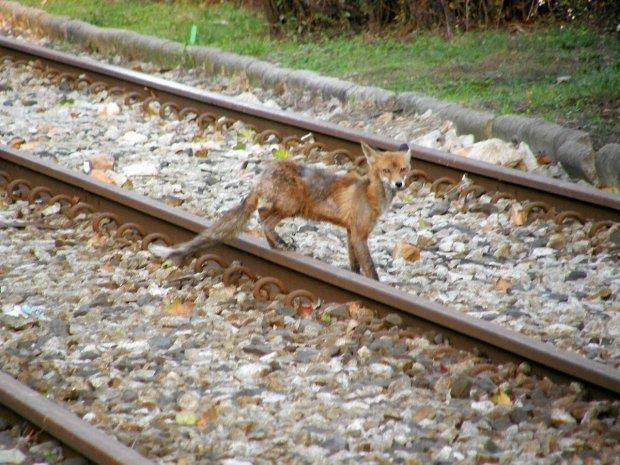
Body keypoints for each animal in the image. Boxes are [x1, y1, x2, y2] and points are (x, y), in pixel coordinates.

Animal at [151, 140, 412, 280]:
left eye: (403, 169)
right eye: (386, 171)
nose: (399, 184)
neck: (370, 195)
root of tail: (265, 173)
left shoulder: (351, 233)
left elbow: (355, 266)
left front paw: (355, 278)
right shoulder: (359, 234)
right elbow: (370, 268)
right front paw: (376, 285)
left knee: (262, 215)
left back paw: (275, 244)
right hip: (291, 206)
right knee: (263, 217)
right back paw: (279, 243)